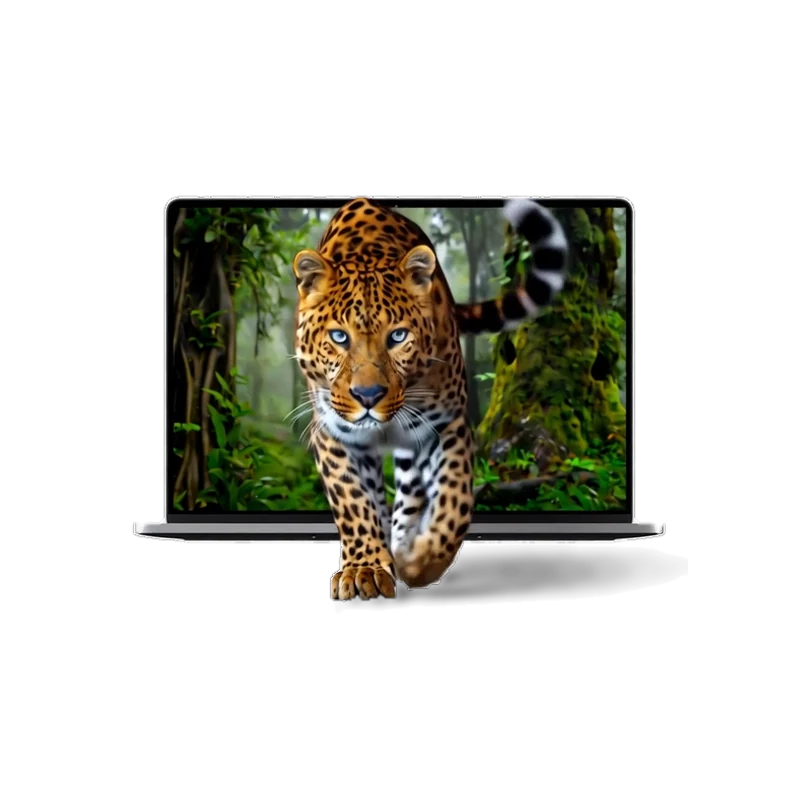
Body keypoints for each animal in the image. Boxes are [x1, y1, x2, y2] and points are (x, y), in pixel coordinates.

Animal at [292, 197, 567, 600]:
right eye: (339, 337)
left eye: (398, 336)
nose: (368, 396)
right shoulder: (333, 434)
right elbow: (354, 504)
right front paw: (364, 568)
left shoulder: (445, 426)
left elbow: (455, 500)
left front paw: (420, 561)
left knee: (411, 497)